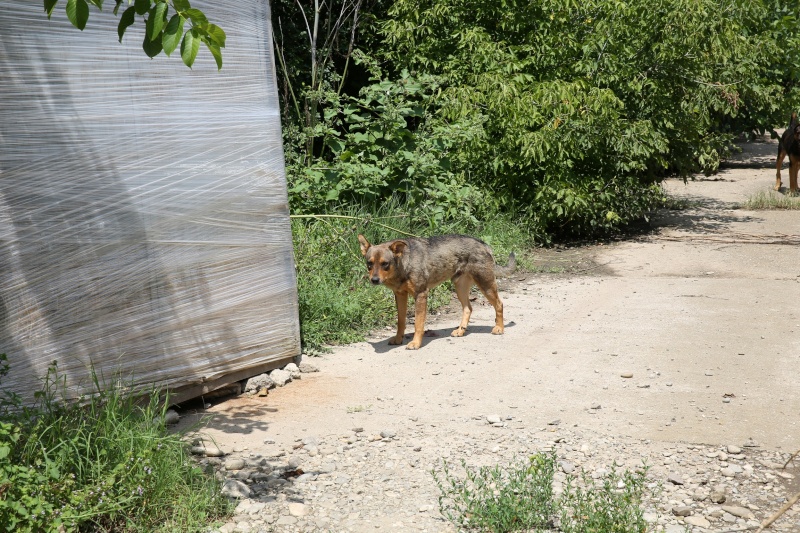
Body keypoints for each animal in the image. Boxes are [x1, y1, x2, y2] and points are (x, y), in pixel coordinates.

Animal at [358, 233, 520, 350]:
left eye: (385, 264)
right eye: (369, 264)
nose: (374, 280)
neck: (403, 265)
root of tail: (482, 243)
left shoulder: (421, 295)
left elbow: (418, 324)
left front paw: (416, 343)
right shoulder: (400, 295)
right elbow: (401, 322)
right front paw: (398, 339)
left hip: (486, 285)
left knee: (499, 304)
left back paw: (499, 328)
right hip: (460, 288)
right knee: (468, 308)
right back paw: (461, 330)